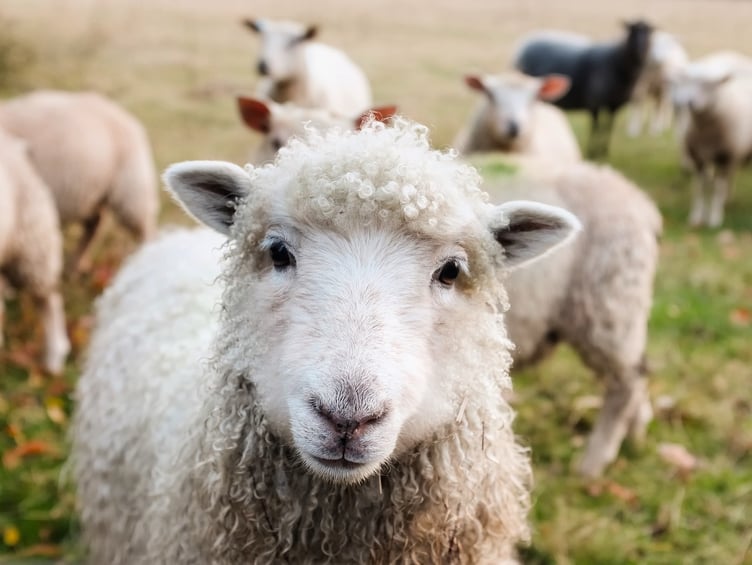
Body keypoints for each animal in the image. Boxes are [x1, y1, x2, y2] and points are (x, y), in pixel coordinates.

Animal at [479, 157, 662, 477]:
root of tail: (643, 204)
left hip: (607, 305)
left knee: (627, 383)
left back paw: (593, 463)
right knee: (638, 372)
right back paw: (637, 434)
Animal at [514, 20, 654, 158]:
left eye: (649, 33)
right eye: (632, 31)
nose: (641, 50)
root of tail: (525, 42)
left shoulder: (614, 106)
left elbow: (608, 128)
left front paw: (604, 151)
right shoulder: (594, 103)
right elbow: (596, 127)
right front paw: (593, 152)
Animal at [670, 66, 752, 227]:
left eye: (709, 85)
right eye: (687, 82)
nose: (689, 102)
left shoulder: (724, 157)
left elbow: (718, 188)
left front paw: (715, 218)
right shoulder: (698, 158)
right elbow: (700, 188)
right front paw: (696, 217)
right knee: (730, 176)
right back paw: (727, 200)